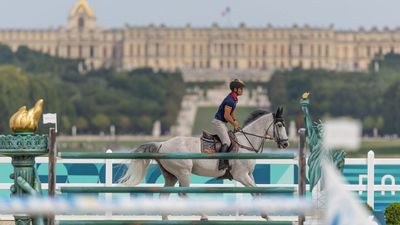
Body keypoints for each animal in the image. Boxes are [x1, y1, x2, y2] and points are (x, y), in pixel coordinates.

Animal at [119, 107, 288, 220]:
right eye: (280, 125)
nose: (286, 144)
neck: (246, 143)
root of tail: (162, 144)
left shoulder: (249, 174)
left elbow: (256, 191)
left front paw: (267, 215)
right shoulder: (241, 175)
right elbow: (257, 192)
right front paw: (266, 215)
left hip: (171, 176)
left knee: (164, 196)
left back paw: (166, 219)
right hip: (183, 172)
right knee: (184, 194)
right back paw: (203, 215)